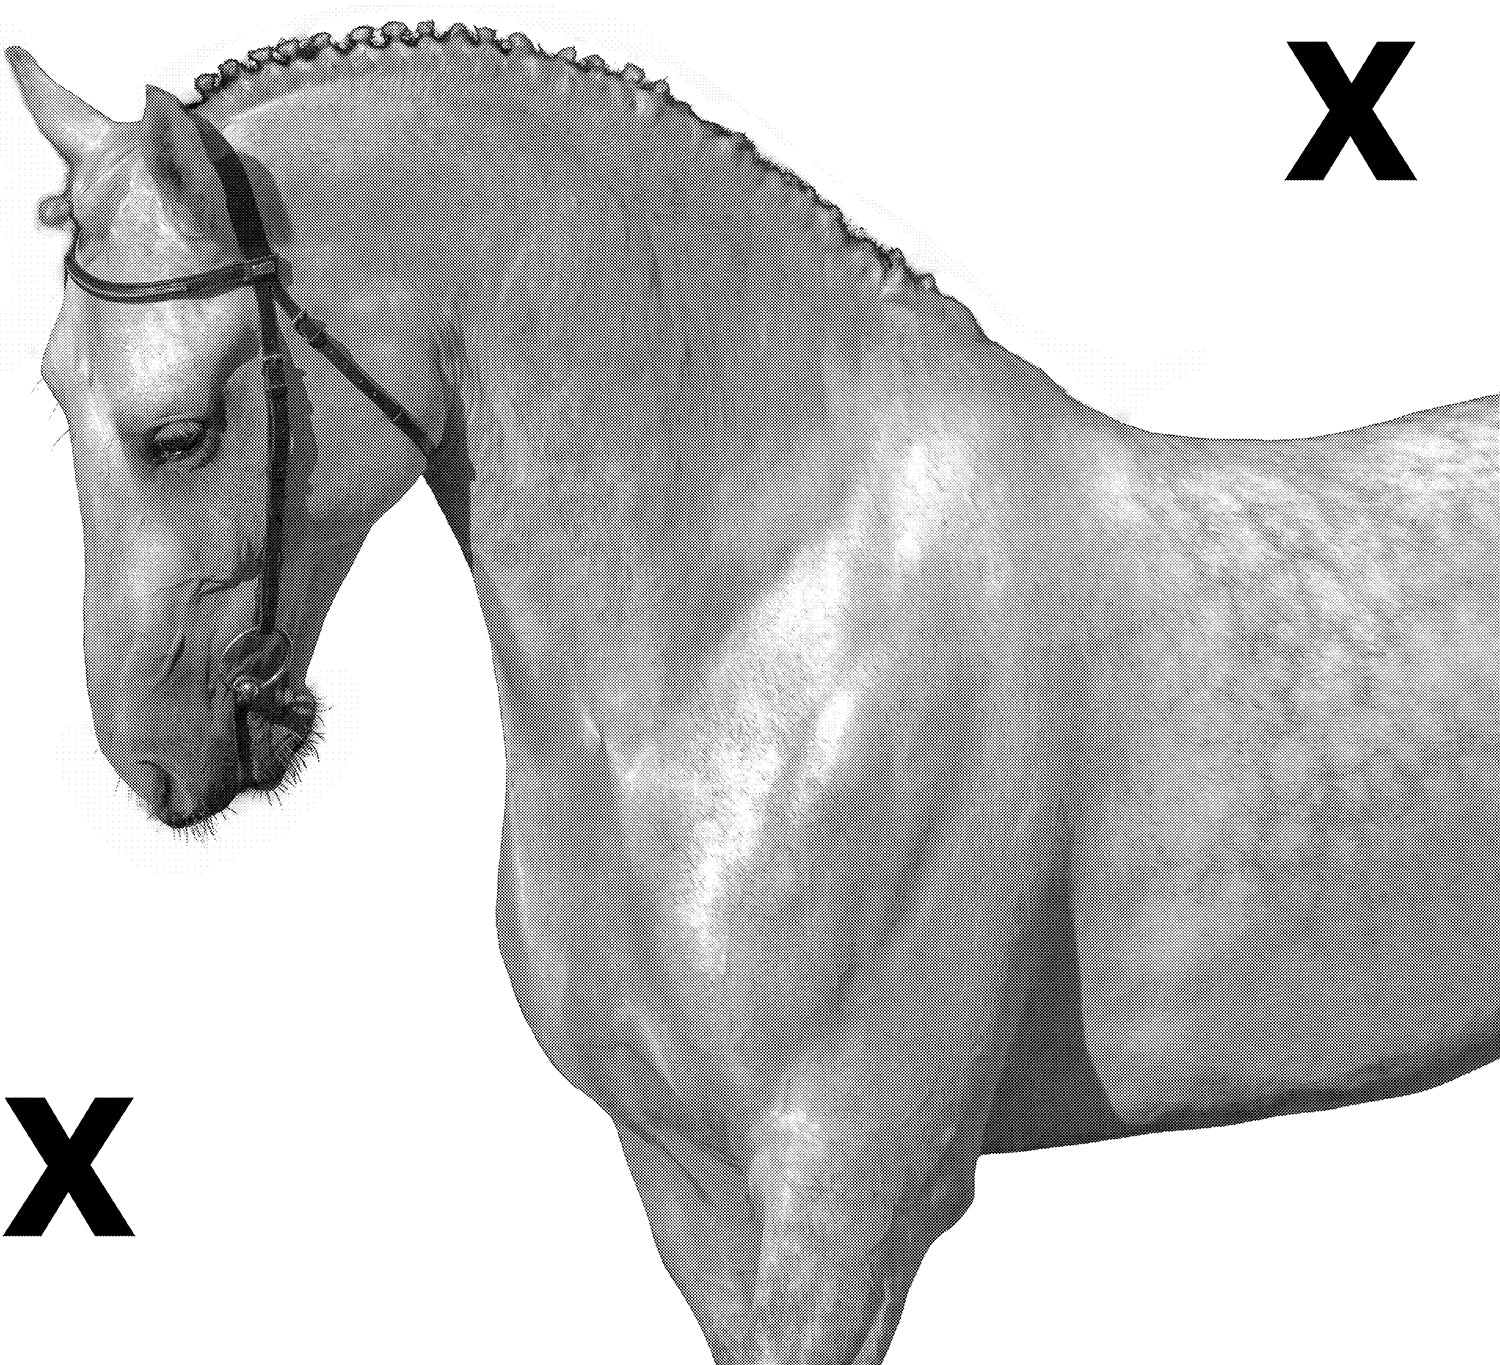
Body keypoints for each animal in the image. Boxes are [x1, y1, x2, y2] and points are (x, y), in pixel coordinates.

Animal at [10, 22, 1500, 1365]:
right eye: (53, 394)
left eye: (178, 434)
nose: (155, 754)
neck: (758, 621)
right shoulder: (684, 1179)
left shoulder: (852, 1199)